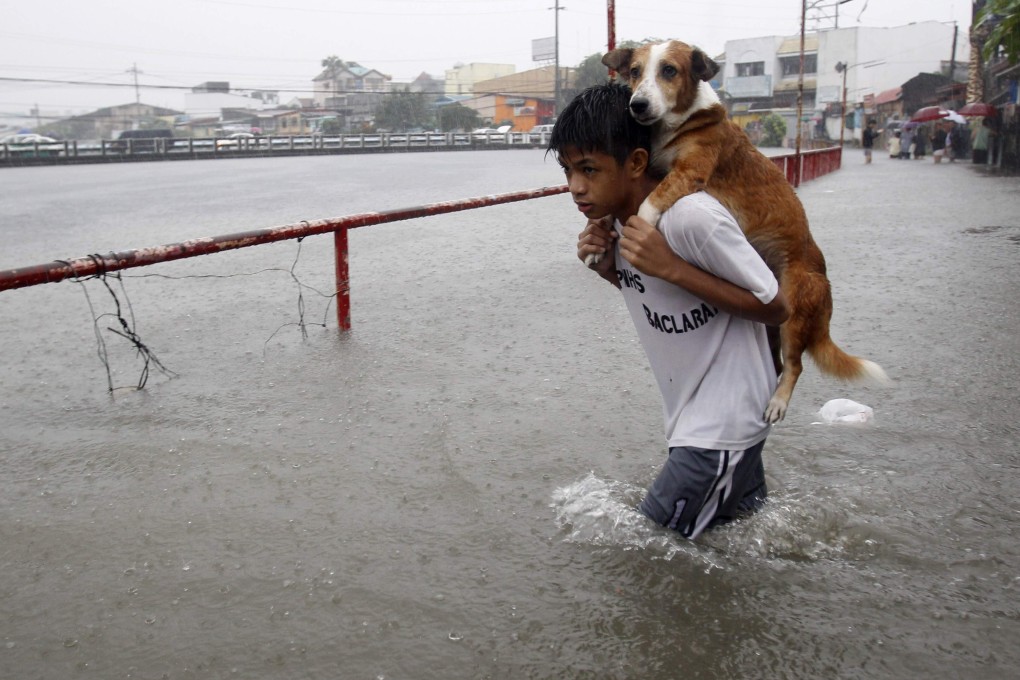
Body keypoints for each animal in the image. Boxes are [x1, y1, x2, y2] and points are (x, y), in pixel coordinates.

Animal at [603, 40, 885, 420]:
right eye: (634, 71)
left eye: (669, 71)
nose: (638, 105)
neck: (680, 123)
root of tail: (825, 286)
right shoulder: (656, 167)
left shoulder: (689, 172)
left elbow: (649, 203)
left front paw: (640, 229)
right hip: (773, 325)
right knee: (778, 362)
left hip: (793, 314)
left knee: (795, 365)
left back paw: (778, 402)